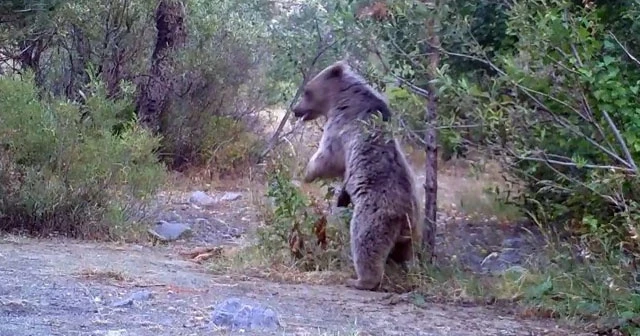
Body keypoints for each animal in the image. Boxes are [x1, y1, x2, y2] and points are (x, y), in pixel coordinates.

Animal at [292, 59, 422, 290]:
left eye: (307, 91)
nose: (295, 110)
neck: (342, 99)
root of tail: (406, 212)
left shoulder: (342, 127)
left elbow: (328, 156)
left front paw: (307, 172)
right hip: (411, 230)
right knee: (405, 252)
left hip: (374, 215)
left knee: (365, 242)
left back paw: (360, 280)